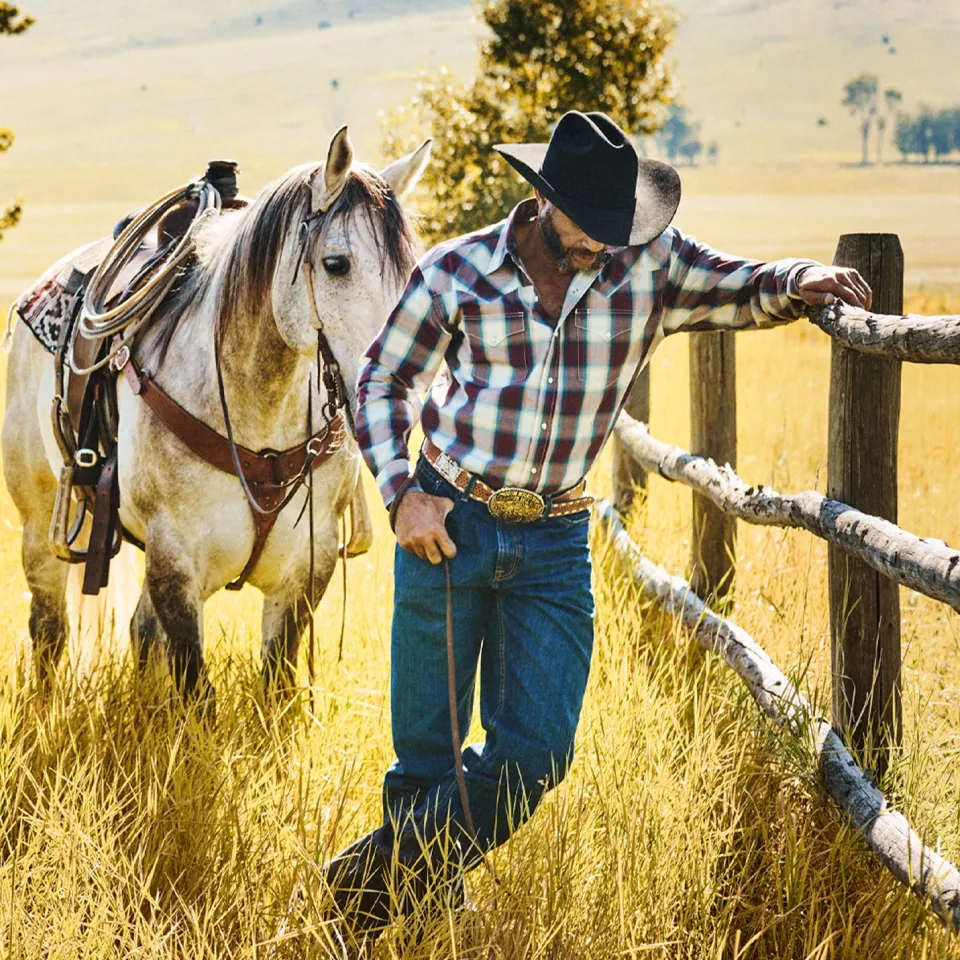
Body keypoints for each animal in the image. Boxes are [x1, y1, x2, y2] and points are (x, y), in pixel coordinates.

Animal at [2, 127, 432, 704]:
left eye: (412, 270)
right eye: (336, 263)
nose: (403, 373)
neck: (257, 414)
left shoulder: (306, 568)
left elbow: (275, 681)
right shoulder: (174, 562)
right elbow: (192, 683)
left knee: (139, 632)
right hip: (40, 520)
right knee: (49, 629)